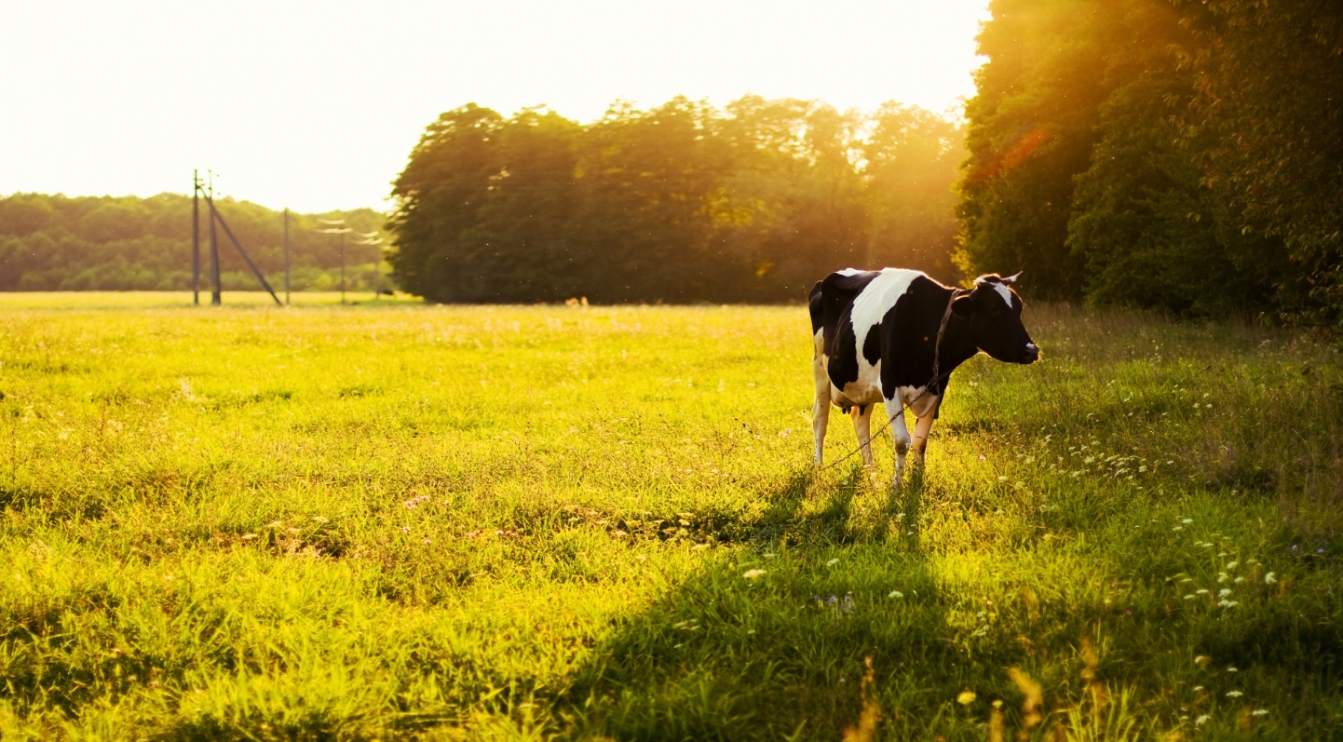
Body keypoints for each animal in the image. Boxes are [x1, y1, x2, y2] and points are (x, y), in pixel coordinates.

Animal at [805, 270, 1036, 483]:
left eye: (1019, 308)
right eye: (995, 309)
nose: (1032, 350)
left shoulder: (936, 388)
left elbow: (920, 441)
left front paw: (916, 481)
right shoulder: (889, 385)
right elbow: (901, 442)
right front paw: (896, 486)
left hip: (863, 386)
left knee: (860, 421)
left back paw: (870, 469)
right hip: (819, 367)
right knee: (820, 418)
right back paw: (819, 466)